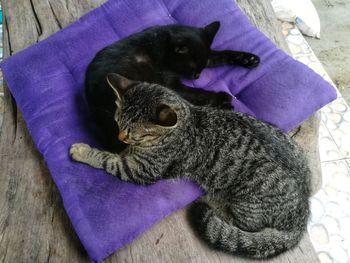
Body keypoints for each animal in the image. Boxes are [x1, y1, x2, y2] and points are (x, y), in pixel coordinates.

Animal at [70, 74, 308, 260]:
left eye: (134, 133)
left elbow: (107, 159)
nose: (120, 137)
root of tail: (303, 214)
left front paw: (83, 151)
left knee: (245, 226)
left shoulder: (141, 170)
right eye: (117, 122)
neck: (187, 119)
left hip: (247, 203)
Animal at [85, 21, 260, 152]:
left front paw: (248, 59)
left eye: (202, 68)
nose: (197, 76)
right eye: (192, 69)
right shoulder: (171, 84)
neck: (161, 44)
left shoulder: (207, 56)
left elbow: (220, 54)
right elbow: (196, 92)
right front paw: (222, 98)